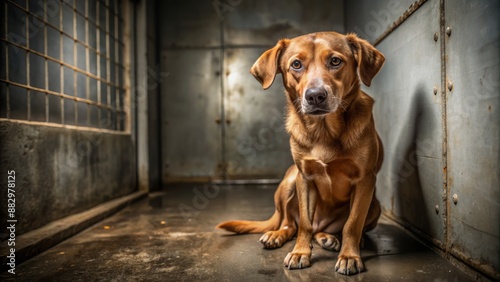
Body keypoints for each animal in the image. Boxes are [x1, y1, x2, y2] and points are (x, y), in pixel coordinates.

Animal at [217, 31, 384, 276]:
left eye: (335, 61)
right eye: (296, 64)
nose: (315, 96)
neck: (324, 130)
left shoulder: (365, 180)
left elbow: (352, 224)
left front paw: (349, 256)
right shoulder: (304, 177)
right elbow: (304, 223)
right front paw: (300, 253)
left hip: (374, 205)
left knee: (329, 229)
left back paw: (331, 238)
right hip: (289, 181)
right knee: (291, 224)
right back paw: (277, 235)